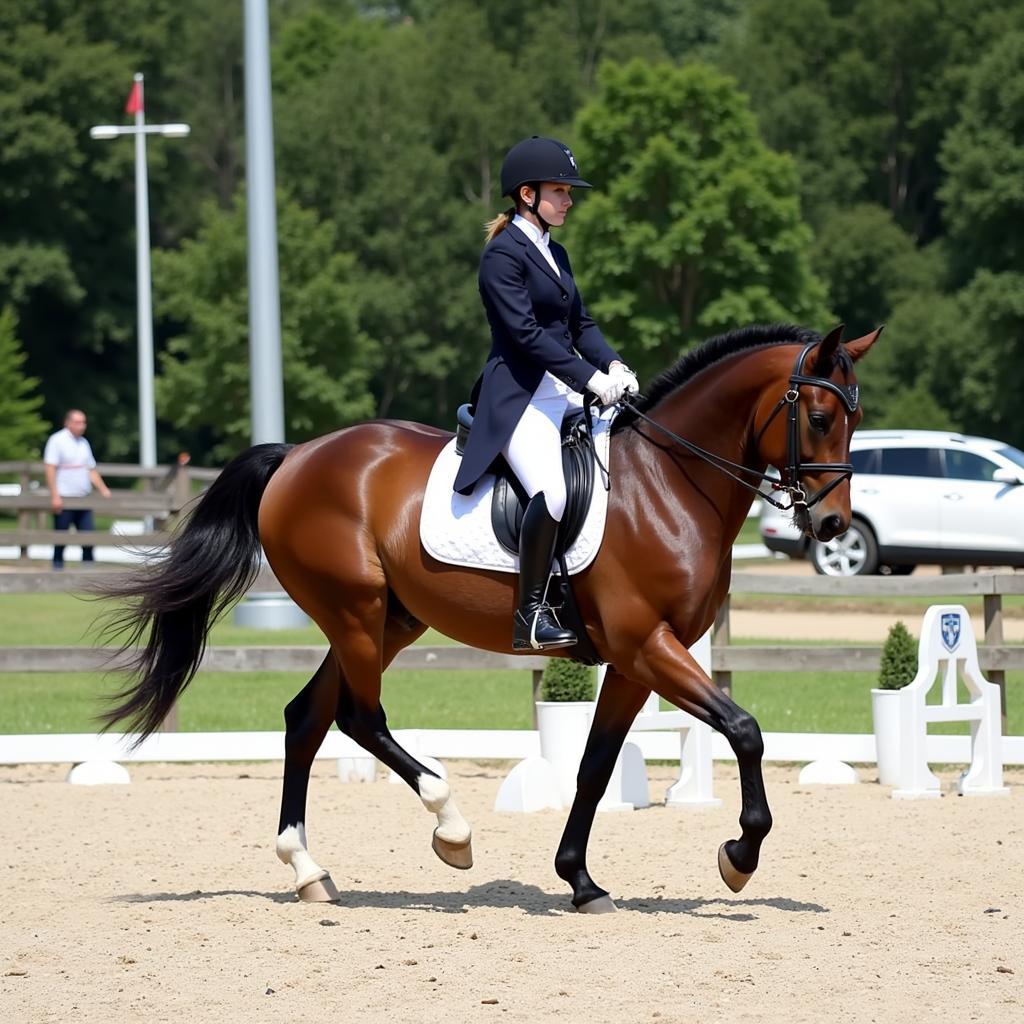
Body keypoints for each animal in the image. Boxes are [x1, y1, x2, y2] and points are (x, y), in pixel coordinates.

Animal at [103, 321, 880, 913]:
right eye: (818, 418)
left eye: (857, 420)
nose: (834, 526)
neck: (668, 484)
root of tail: (297, 455)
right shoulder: (646, 645)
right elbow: (744, 730)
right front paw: (739, 855)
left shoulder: (636, 662)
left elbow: (595, 768)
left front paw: (581, 880)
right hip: (355, 610)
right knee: (359, 717)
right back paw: (451, 830)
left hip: (389, 621)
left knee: (307, 717)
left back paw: (308, 870)